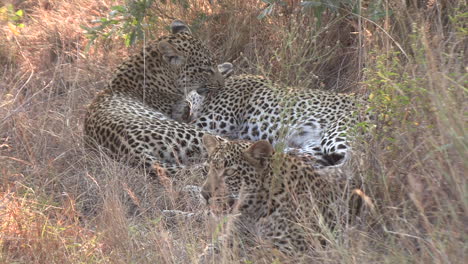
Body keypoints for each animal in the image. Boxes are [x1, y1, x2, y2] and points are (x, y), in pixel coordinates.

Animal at [197, 136, 366, 262]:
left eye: (230, 172)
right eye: (206, 169)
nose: (204, 194)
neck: (252, 210)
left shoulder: (294, 247)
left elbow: (257, 254)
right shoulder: (233, 235)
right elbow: (210, 249)